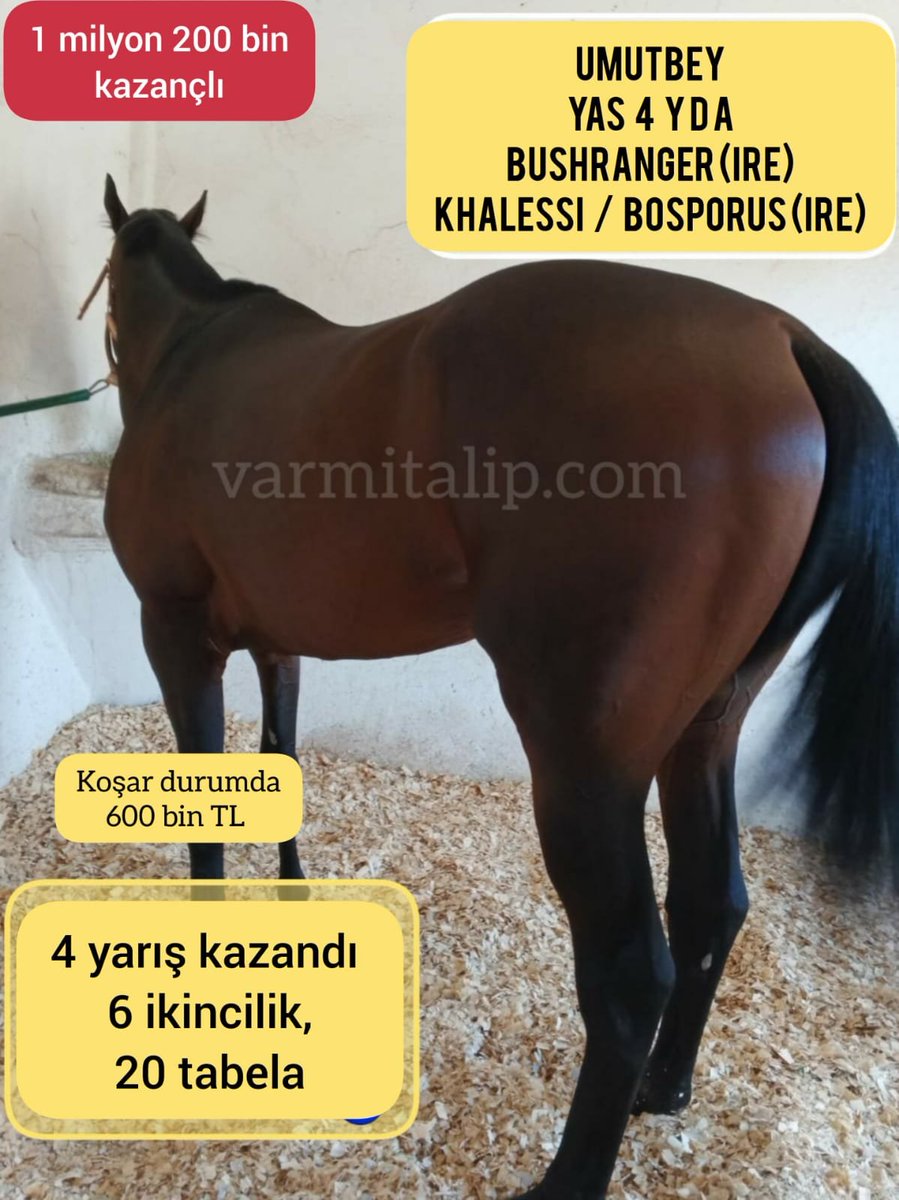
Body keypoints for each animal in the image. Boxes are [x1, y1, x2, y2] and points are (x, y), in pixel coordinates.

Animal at [98, 175, 899, 1200]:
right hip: (704, 732)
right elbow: (278, 764)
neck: (190, 359)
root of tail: (784, 340)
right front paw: (291, 900)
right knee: (712, 902)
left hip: (582, 764)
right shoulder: (279, 647)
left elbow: (204, 800)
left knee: (630, 974)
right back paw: (665, 1086)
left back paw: (569, 1175)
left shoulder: (174, 632)